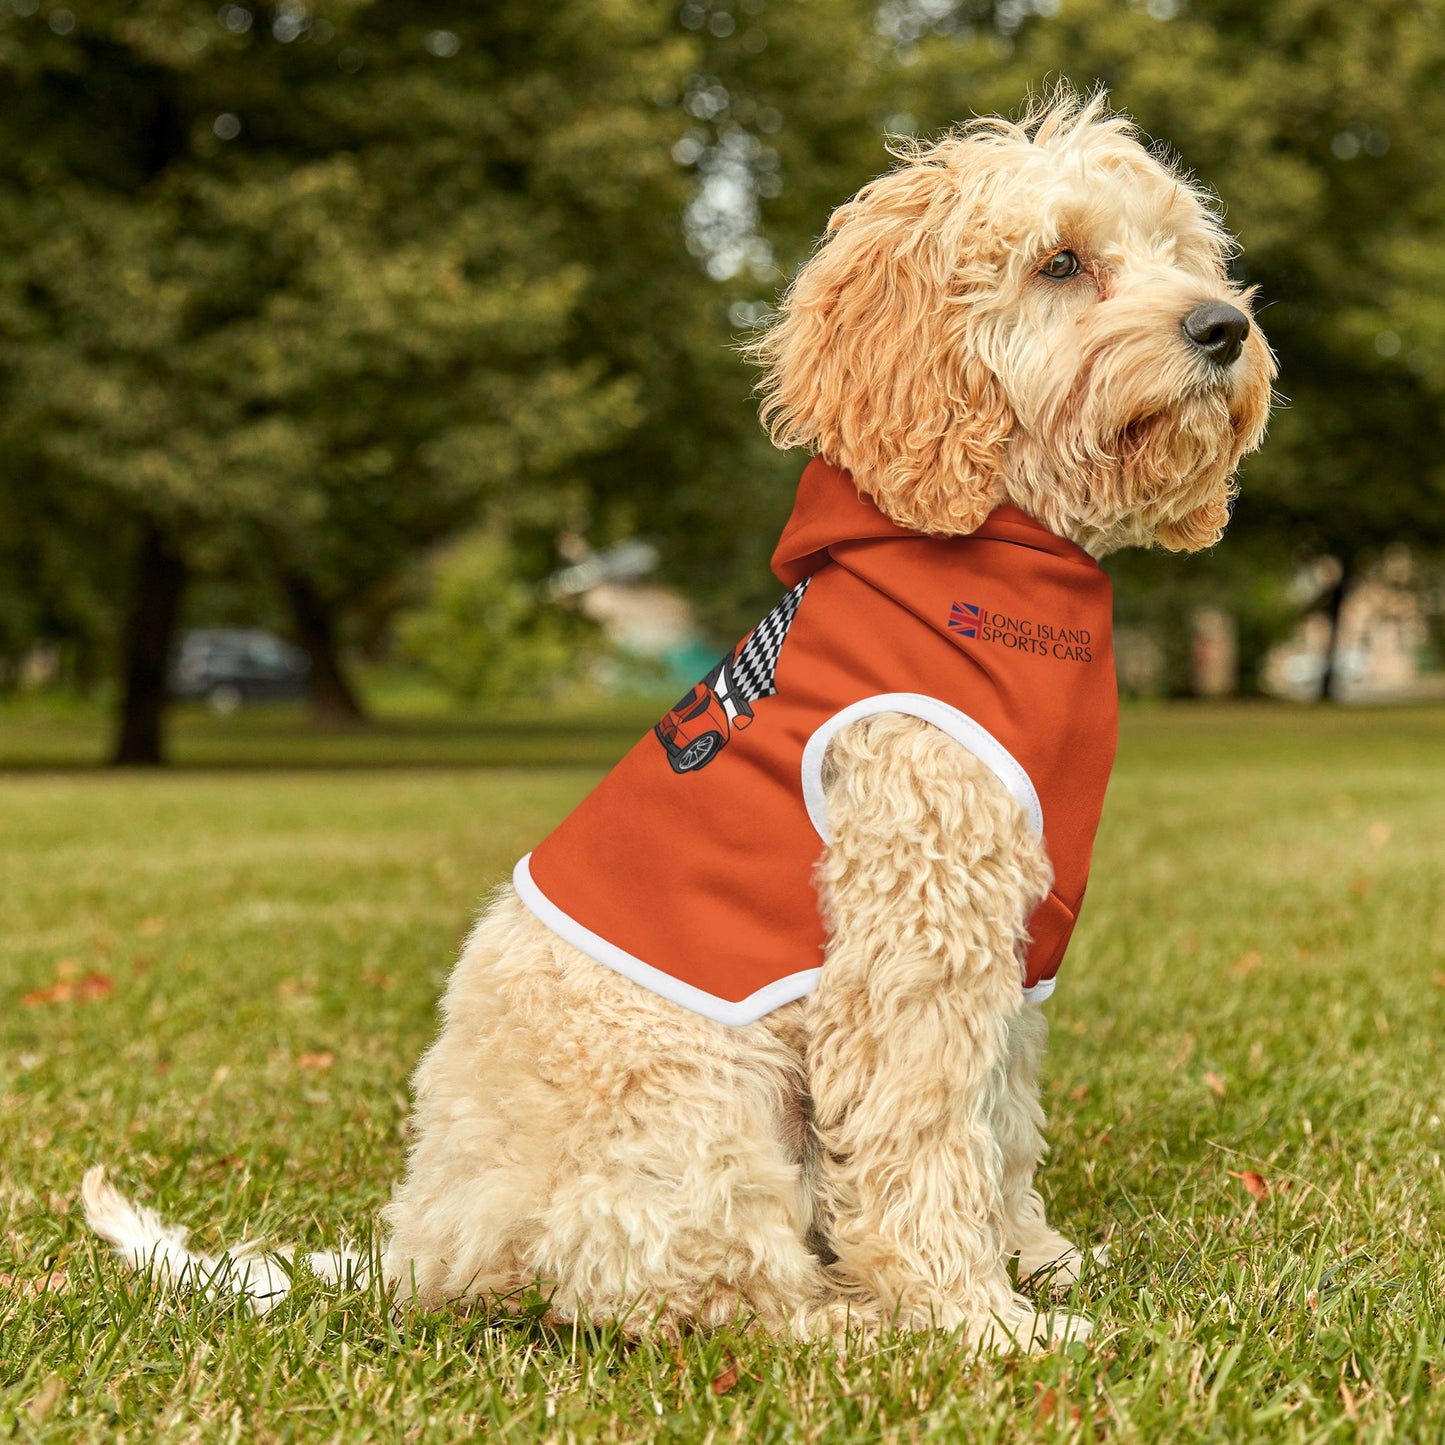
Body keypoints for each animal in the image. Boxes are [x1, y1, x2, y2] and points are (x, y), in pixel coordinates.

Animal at [84, 93, 1271, 1352]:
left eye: (1180, 252)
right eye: (1059, 262)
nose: (1222, 327)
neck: (994, 559)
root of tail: (423, 1246)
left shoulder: (1011, 944)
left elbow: (998, 1122)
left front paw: (1034, 1260)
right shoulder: (913, 938)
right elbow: (924, 1139)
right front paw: (976, 1318)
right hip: (702, 1101)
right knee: (699, 1290)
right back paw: (852, 1322)